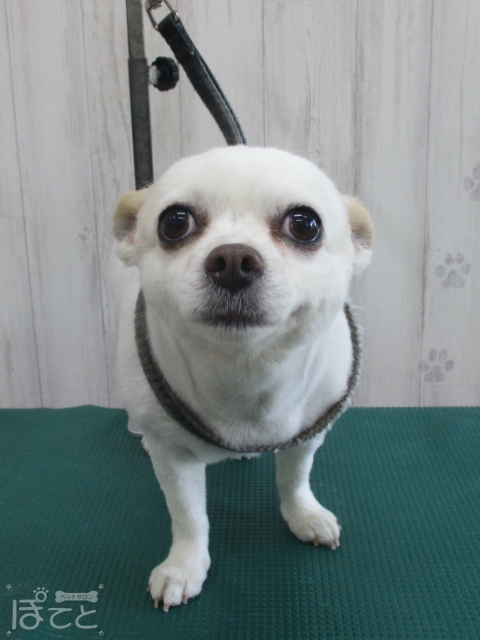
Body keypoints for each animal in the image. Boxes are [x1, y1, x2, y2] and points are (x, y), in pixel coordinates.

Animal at [110, 145, 373, 611]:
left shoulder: (309, 432)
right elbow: (188, 514)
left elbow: (295, 477)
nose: (233, 258)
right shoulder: (173, 457)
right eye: (174, 222)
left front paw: (304, 514)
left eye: (304, 224)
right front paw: (185, 567)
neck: (247, 374)